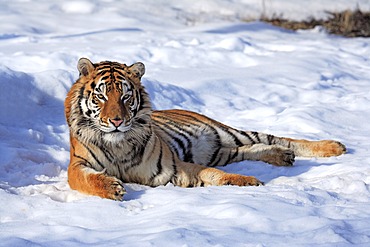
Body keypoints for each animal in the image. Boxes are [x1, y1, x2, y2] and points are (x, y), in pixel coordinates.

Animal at [64, 58, 346, 201]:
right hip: (219, 151)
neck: (119, 144)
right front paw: (112, 188)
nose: (116, 121)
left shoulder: (173, 169)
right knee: (249, 149)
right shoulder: (77, 164)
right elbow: (86, 179)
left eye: (125, 96)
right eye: (101, 96)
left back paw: (333, 146)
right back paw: (282, 156)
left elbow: (214, 175)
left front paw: (247, 181)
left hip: (225, 132)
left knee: (279, 138)